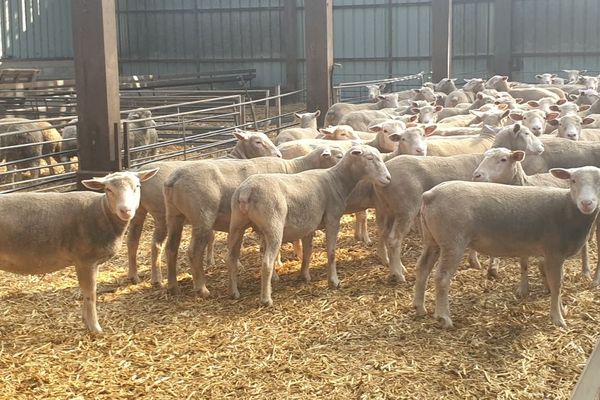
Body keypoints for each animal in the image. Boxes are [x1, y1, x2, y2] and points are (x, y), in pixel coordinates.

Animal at [0, 167, 159, 332]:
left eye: (137, 186)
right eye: (108, 189)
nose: (126, 210)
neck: (102, 213)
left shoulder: (90, 262)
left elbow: (87, 291)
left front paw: (86, 321)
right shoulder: (85, 260)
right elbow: (90, 294)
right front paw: (95, 328)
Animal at [126, 128, 284, 284]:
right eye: (258, 142)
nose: (278, 155)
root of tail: (140, 175)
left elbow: (213, 237)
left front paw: (211, 261)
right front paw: (235, 263)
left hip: (139, 211)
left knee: (133, 240)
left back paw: (134, 276)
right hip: (162, 214)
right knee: (156, 244)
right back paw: (157, 278)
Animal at [163, 145, 342, 296]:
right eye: (339, 156)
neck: (295, 168)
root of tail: (173, 179)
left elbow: (266, 248)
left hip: (174, 215)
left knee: (171, 248)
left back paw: (173, 286)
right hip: (202, 216)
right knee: (194, 252)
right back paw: (202, 289)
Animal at [227, 145, 392, 304]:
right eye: (369, 158)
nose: (388, 178)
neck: (336, 181)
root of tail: (246, 192)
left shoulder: (309, 225)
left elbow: (308, 251)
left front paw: (304, 275)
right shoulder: (332, 219)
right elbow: (331, 252)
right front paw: (334, 281)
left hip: (237, 225)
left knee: (231, 257)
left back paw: (234, 293)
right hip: (273, 226)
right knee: (267, 262)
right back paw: (266, 299)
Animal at [414, 166, 600, 328]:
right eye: (573, 180)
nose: (586, 203)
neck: (567, 210)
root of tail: (430, 194)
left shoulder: (552, 254)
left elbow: (555, 281)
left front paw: (560, 309)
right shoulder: (554, 252)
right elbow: (556, 285)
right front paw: (558, 318)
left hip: (432, 239)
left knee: (422, 268)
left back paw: (419, 307)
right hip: (453, 241)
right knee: (442, 277)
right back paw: (444, 318)